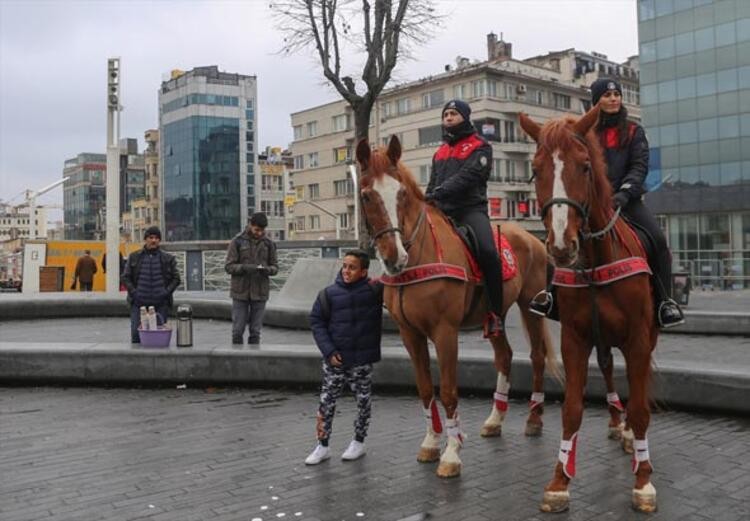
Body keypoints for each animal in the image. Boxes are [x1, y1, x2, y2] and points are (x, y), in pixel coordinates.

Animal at [356, 136, 560, 478]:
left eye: (400, 193)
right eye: (366, 195)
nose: (394, 256)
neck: (420, 255)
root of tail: (532, 238)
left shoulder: (445, 332)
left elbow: (449, 390)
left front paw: (451, 453)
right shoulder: (410, 334)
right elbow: (426, 389)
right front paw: (430, 443)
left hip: (530, 306)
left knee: (536, 356)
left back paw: (534, 418)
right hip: (495, 315)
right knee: (505, 356)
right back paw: (495, 419)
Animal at [520, 106, 660, 512]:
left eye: (584, 166)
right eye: (536, 169)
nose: (561, 245)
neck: (597, 260)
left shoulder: (638, 339)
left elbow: (641, 408)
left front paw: (643, 480)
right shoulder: (575, 338)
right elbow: (571, 410)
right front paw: (559, 480)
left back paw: (627, 433)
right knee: (610, 368)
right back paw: (616, 422)